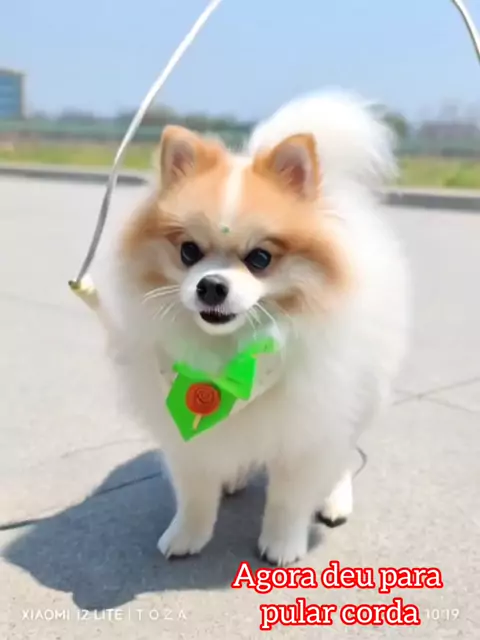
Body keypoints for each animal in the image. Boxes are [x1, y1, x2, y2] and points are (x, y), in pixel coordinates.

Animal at [101, 90, 409, 566]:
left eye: (260, 258)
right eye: (189, 251)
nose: (211, 286)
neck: (232, 354)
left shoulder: (307, 431)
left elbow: (288, 498)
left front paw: (282, 545)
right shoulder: (187, 434)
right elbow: (195, 493)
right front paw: (187, 535)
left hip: (362, 397)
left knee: (342, 457)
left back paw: (334, 500)